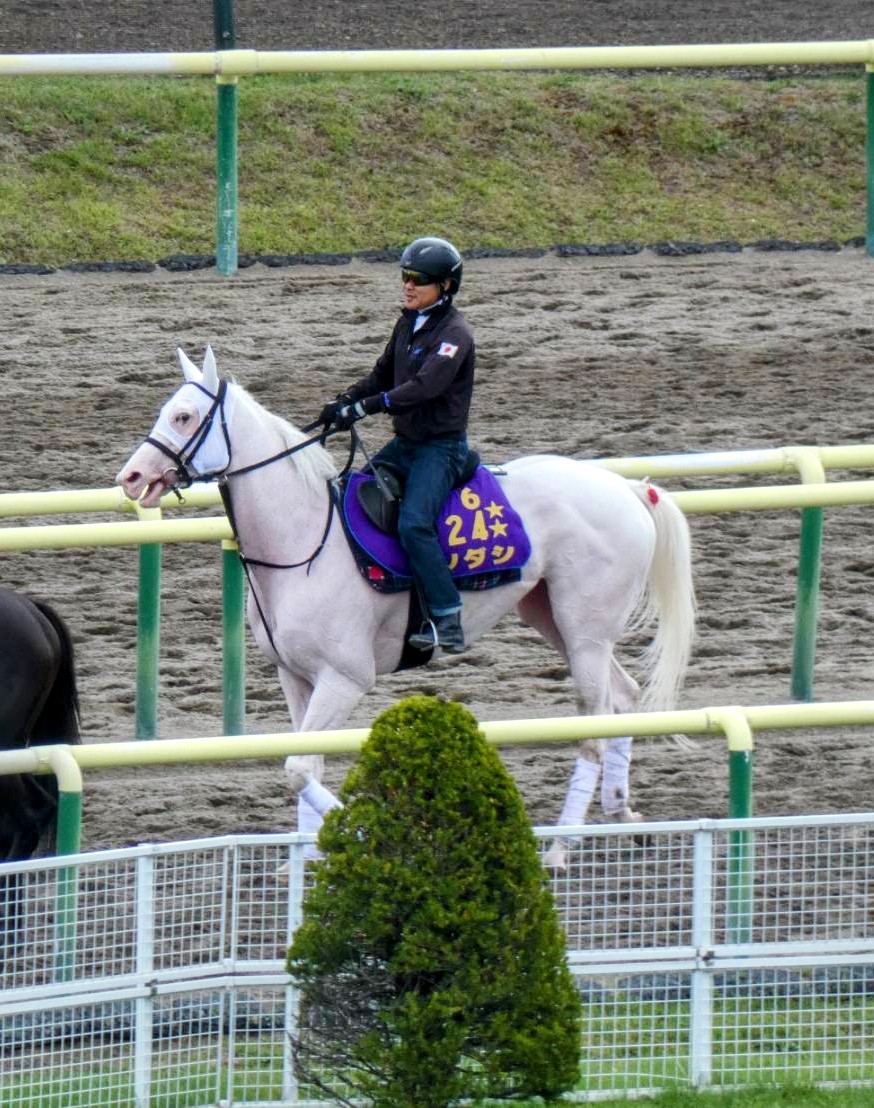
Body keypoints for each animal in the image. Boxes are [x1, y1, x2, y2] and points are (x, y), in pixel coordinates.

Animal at [116, 347, 695, 869]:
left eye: (183, 416)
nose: (131, 478)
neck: (305, 542)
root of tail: (627, 487)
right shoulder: (295, 677)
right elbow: (308, 766)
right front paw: (304, 861)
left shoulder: (345, 678)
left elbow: (300, 768)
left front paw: (361, 839)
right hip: (554, 617)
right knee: (624, 697)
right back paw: (623, 815)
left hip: (584, 630)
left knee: (594, 727)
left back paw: (560, 849)